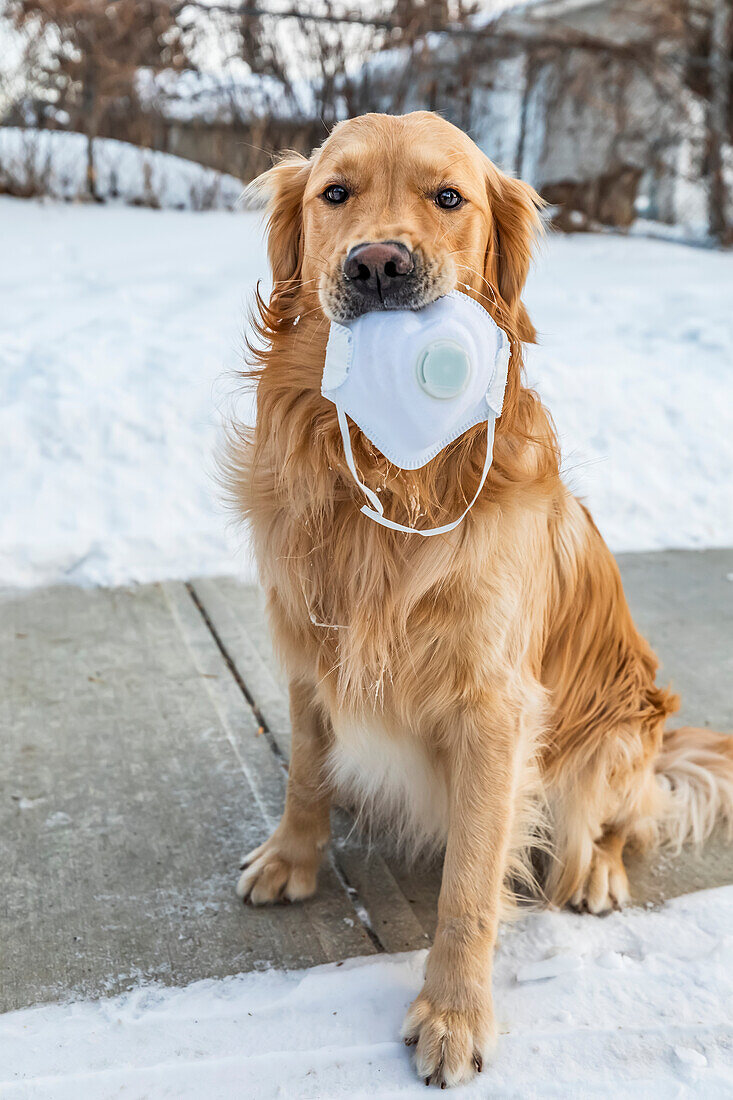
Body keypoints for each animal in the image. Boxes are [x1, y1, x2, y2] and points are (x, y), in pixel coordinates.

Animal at [226, 111, 730, 1082]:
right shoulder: (306, 650)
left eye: (448, 197)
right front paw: (294, 857)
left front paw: (454, 1015)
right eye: (334, 193)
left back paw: (596, 873)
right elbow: (306, 771)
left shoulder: (494, 707)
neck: (391, 479)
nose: (376, 264)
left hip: (616, 734)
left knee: (620, 819)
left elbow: (467, 887)